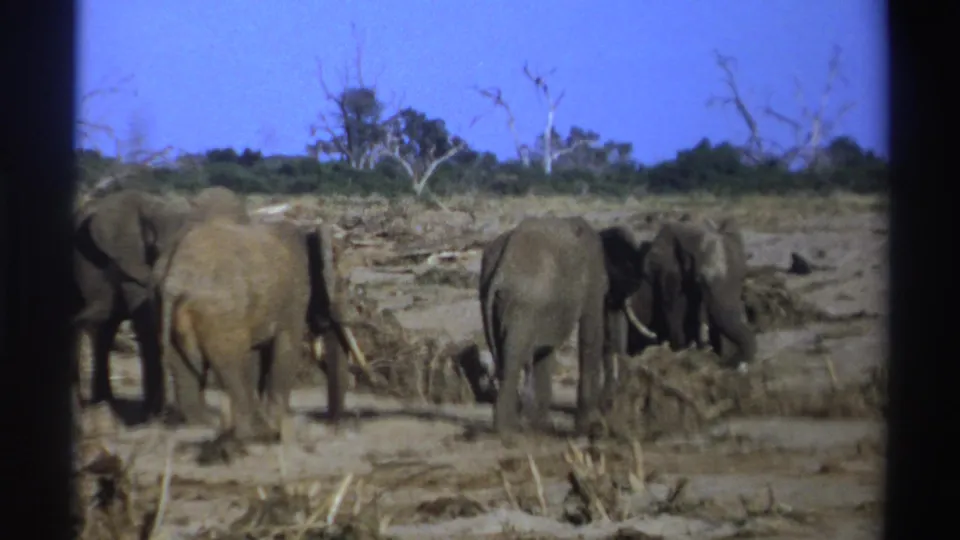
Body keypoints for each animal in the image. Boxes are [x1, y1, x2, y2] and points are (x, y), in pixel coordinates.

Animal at [156, 216, 361, 441]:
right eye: (344, 283)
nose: (333, 425)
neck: (308, 234)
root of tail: (176, 277)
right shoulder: (294, 296)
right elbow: (286, 348)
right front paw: (274, 426)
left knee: (183, 365)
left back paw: (204, 424)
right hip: (221, 314)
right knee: (231, 365)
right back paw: (248, 433)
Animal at [478, 217, 656, 435]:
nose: (610, 405)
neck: (601, 234)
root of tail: (501, 270)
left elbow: (546, 348)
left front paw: (543, 426)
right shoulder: (593, 279)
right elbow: (591, 333)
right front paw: (586, 426)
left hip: (492, 300)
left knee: (505, 355)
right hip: (524, 305)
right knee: (514, 357)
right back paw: (508, 430)